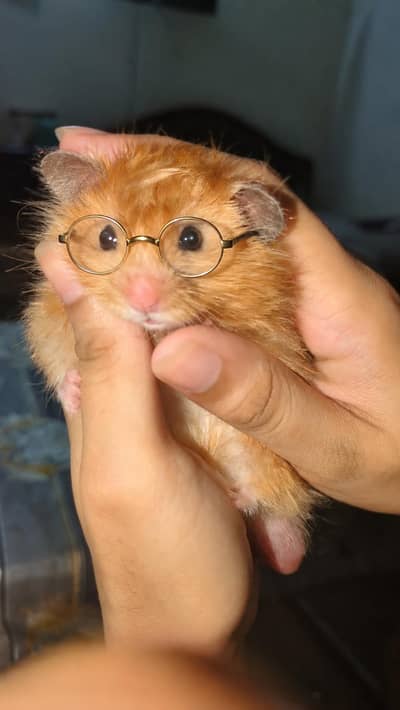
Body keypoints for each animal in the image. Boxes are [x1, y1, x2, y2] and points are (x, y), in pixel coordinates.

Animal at [25, 140, 322, 573]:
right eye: (107, 237)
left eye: (191, 238)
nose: (143, 300)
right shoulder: (46, 316)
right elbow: (56, 356)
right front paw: (77, 392)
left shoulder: (268, 330)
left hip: (259, 452)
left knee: (269, 491)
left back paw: (235, 495)